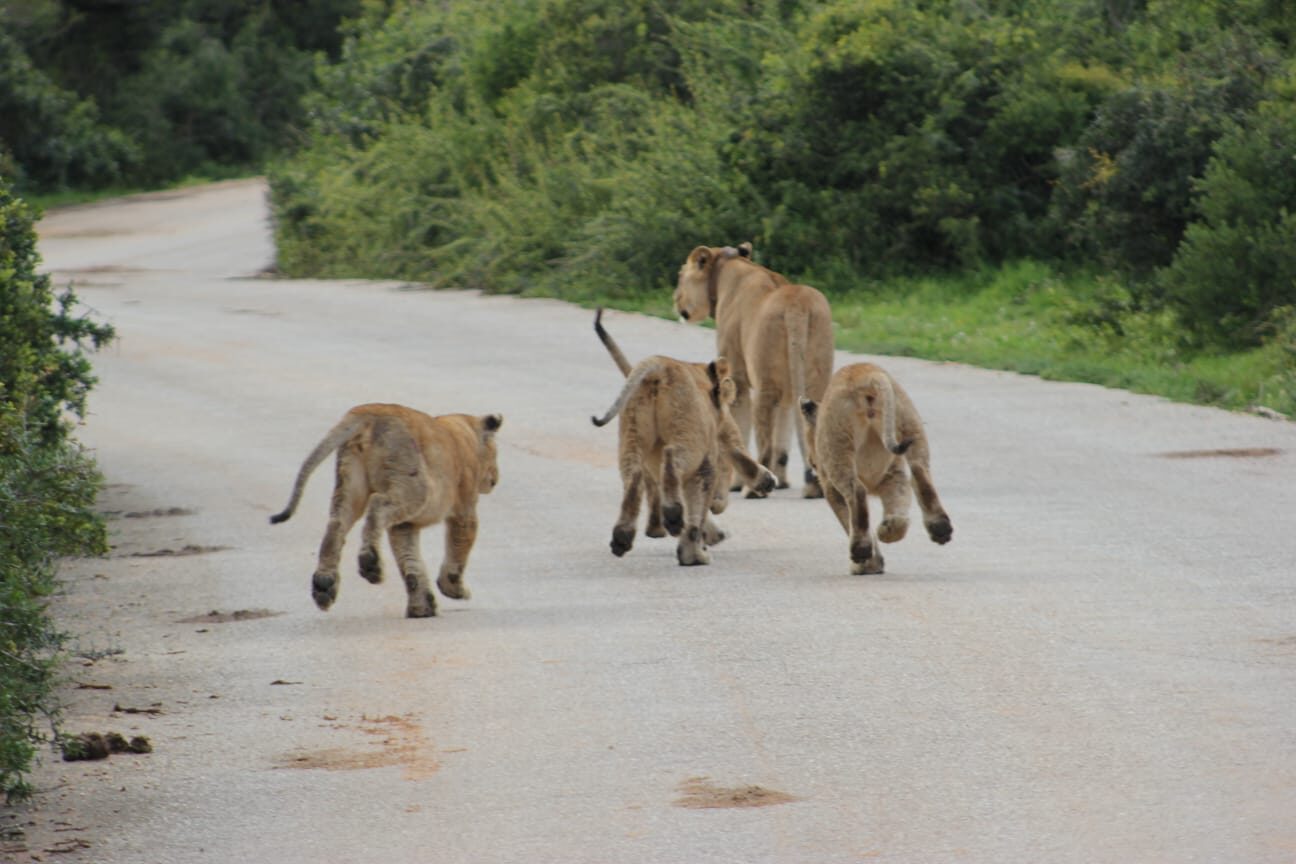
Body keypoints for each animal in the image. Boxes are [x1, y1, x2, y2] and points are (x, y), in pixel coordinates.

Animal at [269, 403, 502, 618]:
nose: (495, 480)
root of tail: (368, 411)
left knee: (336, 525)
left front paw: (421, 608)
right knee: (377, 505)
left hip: (350, 485)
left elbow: (409, 558)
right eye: (496, 454)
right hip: (415, 488)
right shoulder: (464, 510)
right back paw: (370, 564)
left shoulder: (405, 524)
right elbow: (458, 547)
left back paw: (324, 586)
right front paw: (454, 589)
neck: (466, 431)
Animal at [591, 352, 775, 565]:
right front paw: (694, 555)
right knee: (672, 457)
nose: (769, 483)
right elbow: (699, 496)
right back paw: (673, 516)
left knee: (634, 474)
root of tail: (657, 365)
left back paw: (622, 539)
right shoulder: (707, 452)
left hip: (633, 427)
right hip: (688, 431)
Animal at [674, 242, 834, 499]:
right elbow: (783, 434)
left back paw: (754, 489)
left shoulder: (736, 377)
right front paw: (783, 482)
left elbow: (741, 428)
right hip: (815, 377)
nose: (675, 300)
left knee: (764, 440)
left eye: (680, 275)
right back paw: (814, 487)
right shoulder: (788, 393)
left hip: (765, 384)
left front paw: (735, 484)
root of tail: (797, 305)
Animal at [799, 363, 952, 575]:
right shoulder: (893, 474)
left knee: (857, 491)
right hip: (910, 424)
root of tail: (866, 374)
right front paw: (890, 531)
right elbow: (899, 505)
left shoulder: (830, 488)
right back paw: (940, 528)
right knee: (921, 477)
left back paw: (860, 549)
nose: (811, 460)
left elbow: (848, 518)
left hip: (837, 446)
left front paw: (867, 564)